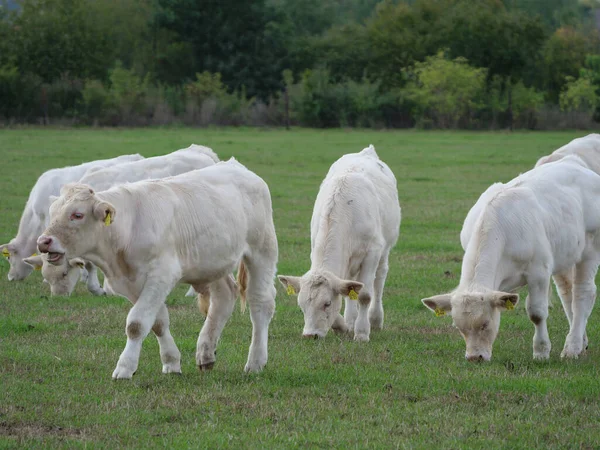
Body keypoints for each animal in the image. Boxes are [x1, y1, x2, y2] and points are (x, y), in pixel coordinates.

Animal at [37, 158, 278, 376]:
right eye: (52, 212)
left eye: (77, 214)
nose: (43, 241)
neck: (127, 229)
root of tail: (237, 166)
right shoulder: (131, 283)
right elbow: (157, 323)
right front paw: (171, 363)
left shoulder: (161, 276)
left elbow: (136, 324)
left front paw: (124, 368)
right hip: (212, 262)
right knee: (223, 299)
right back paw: (206, 354)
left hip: (262, 251)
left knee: (260, 303)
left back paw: (255, 362)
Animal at [278, 145, 400, 342]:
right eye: (301, 305)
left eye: (327, 303)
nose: (310, 335)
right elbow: (346, 291)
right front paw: (343, 326)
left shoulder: (372, 252)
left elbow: (364, 295)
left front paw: (362, 333)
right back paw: (350, 320)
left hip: (385, 248)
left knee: (379, 279)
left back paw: (375, 320)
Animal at [420, 155, 600, 362]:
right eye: (459, 328)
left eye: (485, 323)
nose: (474, 357)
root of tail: (573, 160)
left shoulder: (539, 271)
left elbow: (537, 313)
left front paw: (541, 351)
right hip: (565, 255)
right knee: (567, 294)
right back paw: (580, 341)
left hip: (590, 250)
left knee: (583, 293)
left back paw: (572, 347)